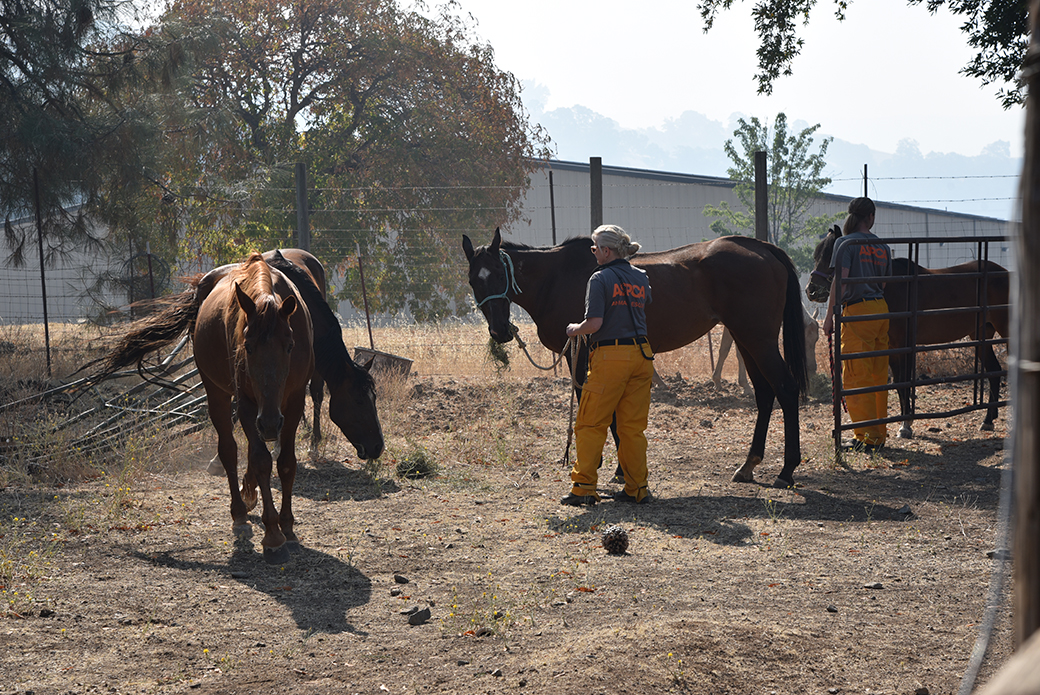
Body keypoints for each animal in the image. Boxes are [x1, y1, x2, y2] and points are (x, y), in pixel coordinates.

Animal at [463, 227, 811, 488]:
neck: (556, 278)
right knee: (765, 394)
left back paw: (786, 470)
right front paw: (620, 466)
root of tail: (763, 249)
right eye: (473, 280)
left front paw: (606, 464)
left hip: (758, 339)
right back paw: (749, 464)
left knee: (785, 388)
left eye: (499, 274)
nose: (500, 331)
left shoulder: (582, 351)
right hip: (745, 339)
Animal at [802, 225, 1006, 436]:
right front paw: (903, 424)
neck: (891, 287)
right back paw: (988, 420)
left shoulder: (905, 345)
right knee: (994, 371)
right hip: (981, 336)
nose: (811, 290)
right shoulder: (892, 347)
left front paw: (906, 425)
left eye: (829, 256)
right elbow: (899, 384)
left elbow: (904, 382)